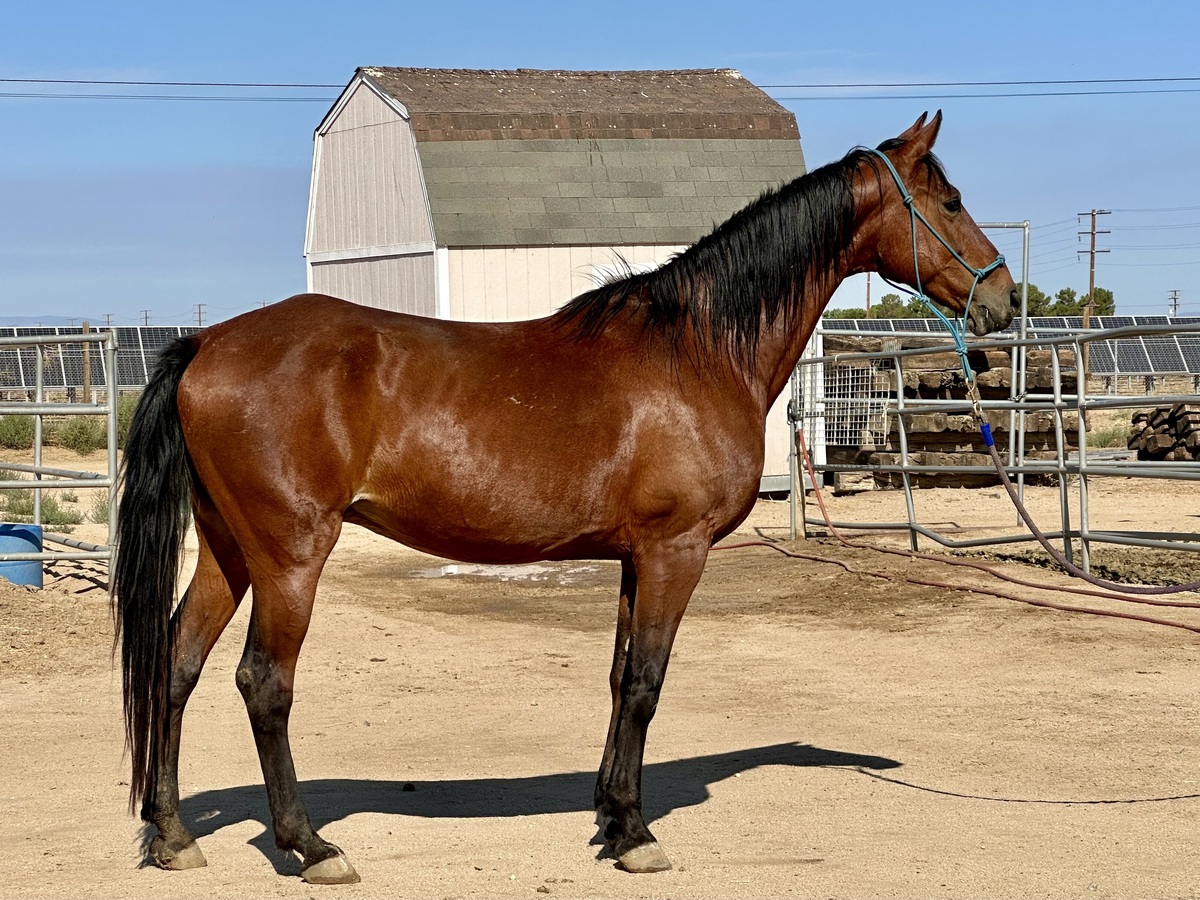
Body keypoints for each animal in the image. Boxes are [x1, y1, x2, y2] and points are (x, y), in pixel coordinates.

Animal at [112, 111, 1019, 884]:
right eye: (949, 201)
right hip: (291, 555)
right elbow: (648, 683)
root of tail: (206, 343)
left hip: (229, 549)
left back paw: (173, 835)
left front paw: (612, 821)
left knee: (176, 665)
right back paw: (310, 846)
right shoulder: (675, 552)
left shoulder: (634, 557)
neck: (696, 351)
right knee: (263, 683)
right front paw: (640, 837)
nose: (1004, 299)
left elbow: (620, 680)